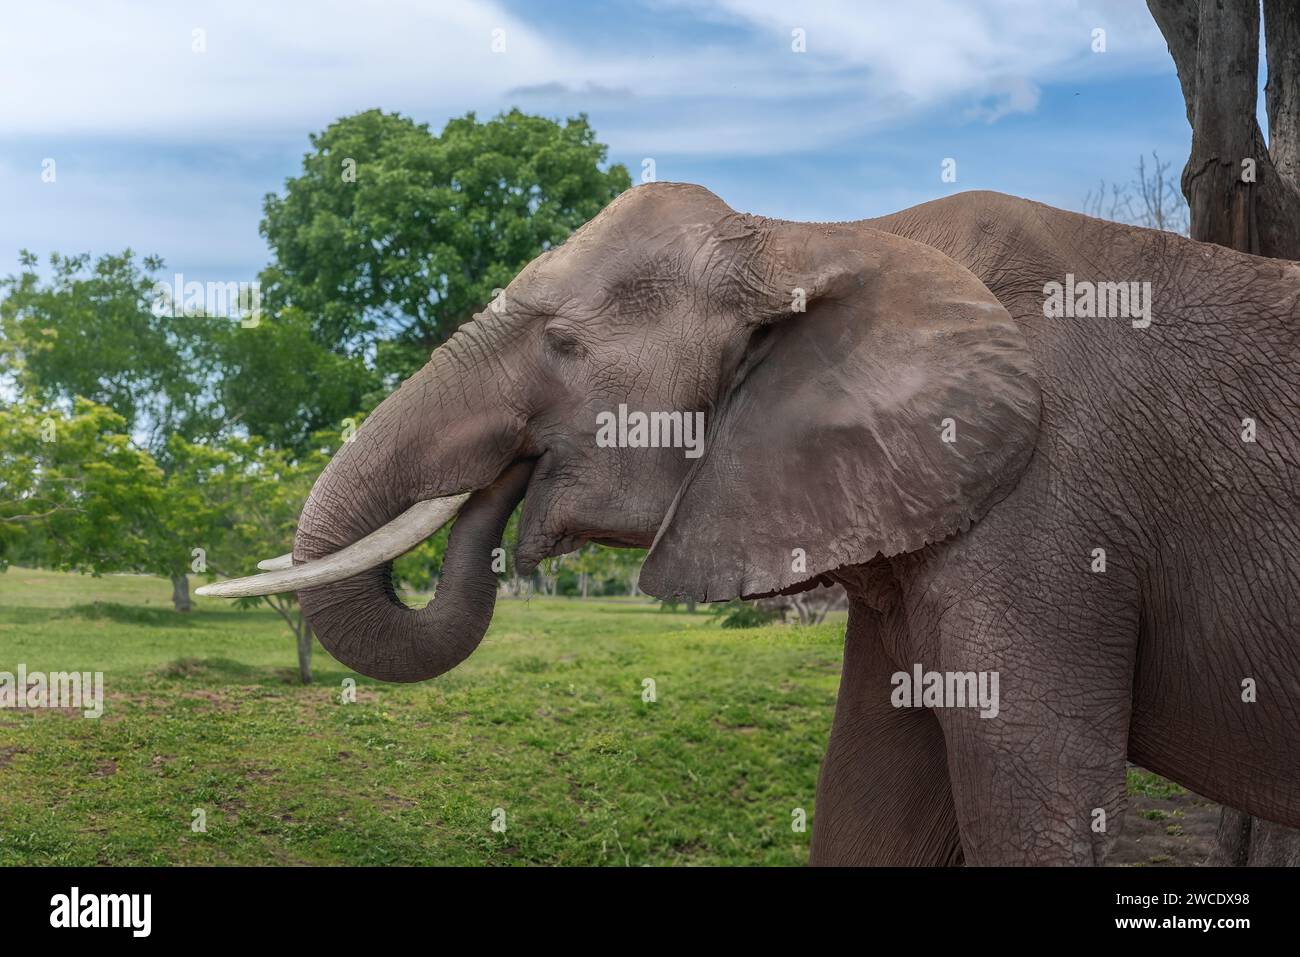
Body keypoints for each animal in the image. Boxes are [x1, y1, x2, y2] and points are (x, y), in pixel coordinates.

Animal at [195, 180, 1300, 868]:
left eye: (563, 345)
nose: (511, 489)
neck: (820, 235)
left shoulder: (1051, 518)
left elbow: (1038, 813)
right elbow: (868, 808)